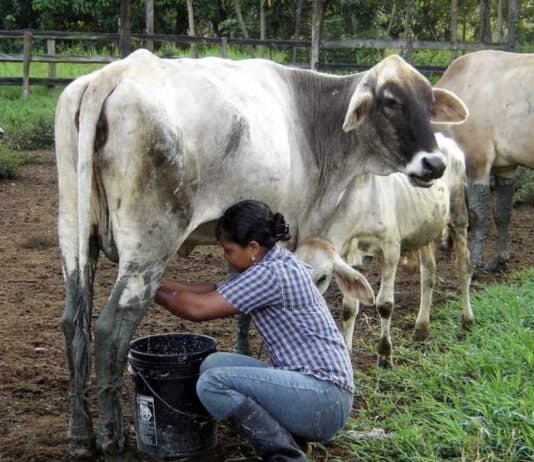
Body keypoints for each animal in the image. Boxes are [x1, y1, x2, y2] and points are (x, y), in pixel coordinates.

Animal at [296, 134, 476, 368]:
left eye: (322, 278)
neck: (362, 202)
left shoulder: (391, 249)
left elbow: (385, 304)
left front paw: (385, 355)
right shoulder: (350, 254)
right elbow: (349, 308)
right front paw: (348, 352)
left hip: (458, 215)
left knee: (464, 268)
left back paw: (467, 319)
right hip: (425, 228)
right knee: (428, 273)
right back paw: (421, 327)